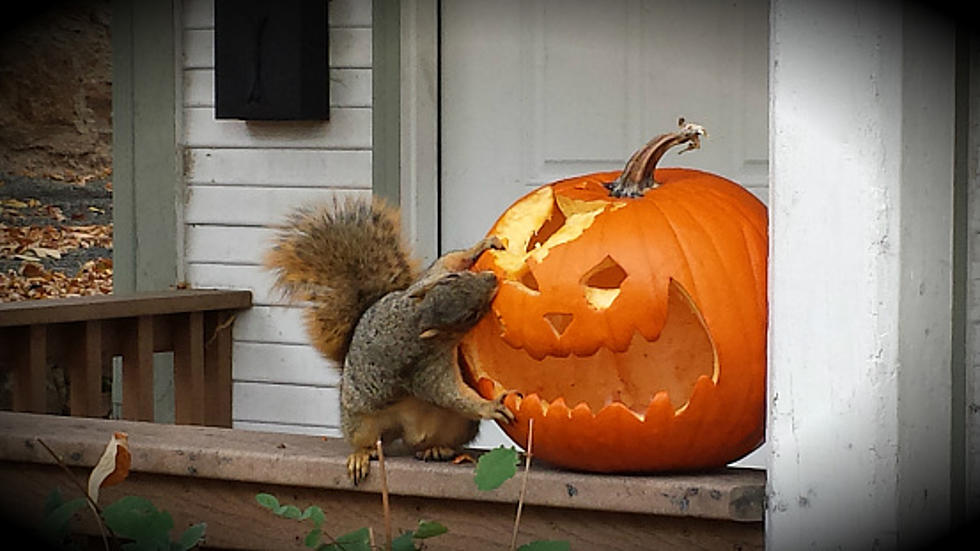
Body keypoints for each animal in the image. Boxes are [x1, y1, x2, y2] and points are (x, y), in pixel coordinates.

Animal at [264, 198, 516, 484]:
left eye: (454, 278)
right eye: (470, 316)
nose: (492, 278)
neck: (415, 319)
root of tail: (408, 433)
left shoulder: (424, 283)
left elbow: (449, 260)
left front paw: (483, 245)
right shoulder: (424, 368)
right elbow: (450, 393)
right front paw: (489, 406)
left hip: (456, 426)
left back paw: (436, 449)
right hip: (361, 421)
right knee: (366, 442)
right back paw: (361, 455)